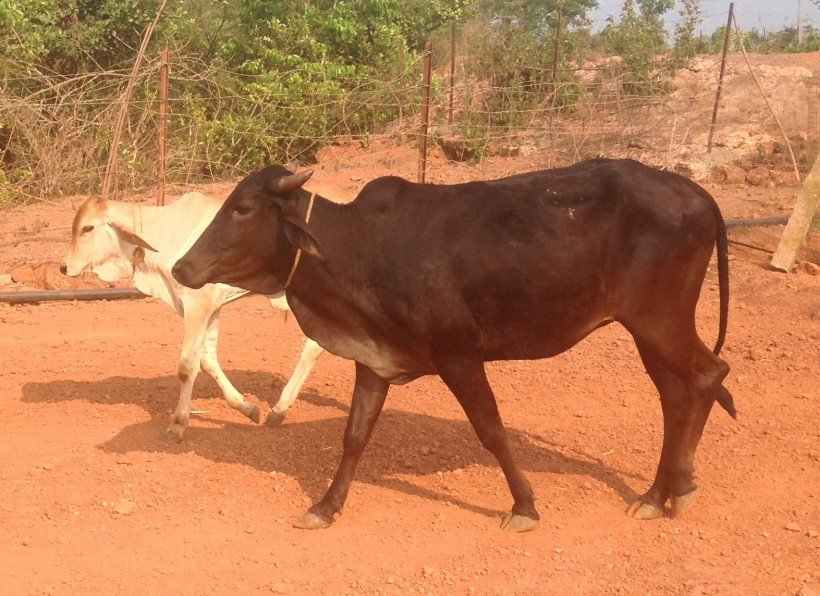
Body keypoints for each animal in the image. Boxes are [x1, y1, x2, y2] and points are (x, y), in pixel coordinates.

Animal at [61, 190, 325, 443]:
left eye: (87, 228)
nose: (64, 267)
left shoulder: (197, 306)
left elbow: (187, 366)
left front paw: (178, 425)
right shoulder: (213, 307)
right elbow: (207, 360)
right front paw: (246, 407)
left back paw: (280, 409)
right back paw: (278, 411)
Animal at [171, 158, 735, 533]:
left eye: (243, 208)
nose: (182, 267)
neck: (357, 248)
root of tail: (695, 191)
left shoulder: (459, 356)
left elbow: (492, 431)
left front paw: (524, 507)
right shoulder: (373, 361)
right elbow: (355, 437)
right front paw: (325, 507)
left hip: (659, 322)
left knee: (707, 377)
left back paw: (677, 489)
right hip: (649, 331)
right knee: (677, 395)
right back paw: (659, 493)